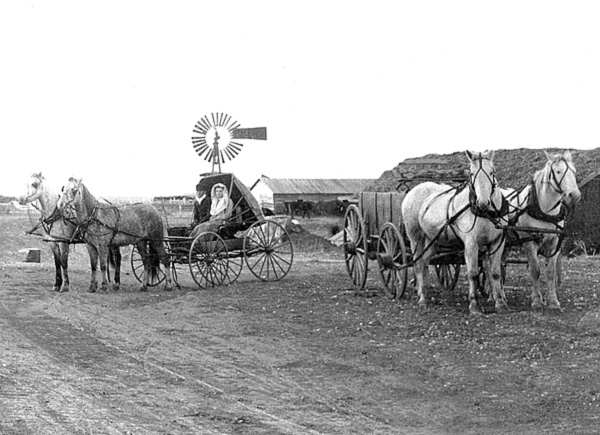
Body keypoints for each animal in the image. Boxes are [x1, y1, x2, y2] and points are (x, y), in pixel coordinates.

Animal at [400, 150, 508, 314]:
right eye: (471, 173)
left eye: (492, 172)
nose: (483, 203)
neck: (486, 213)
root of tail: (413, 190)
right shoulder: (471, 243)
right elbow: (473, 273)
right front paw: (474, 304)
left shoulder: (497, 242)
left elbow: (495, 273)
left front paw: (500, 302)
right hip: (415, 237)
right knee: (417, 264)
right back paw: (422, 297)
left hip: (432, 240)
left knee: (425, 262)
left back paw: (425, 291)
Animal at [502, 152, 580, 312]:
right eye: (558, 171)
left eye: (574, 171)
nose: (574, 195)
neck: (544, 211)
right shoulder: (530, 243)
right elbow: (535, 270)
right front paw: (537, 301)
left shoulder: (555, 243)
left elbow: (550, 272)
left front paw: (553, 301)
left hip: (506, 244)